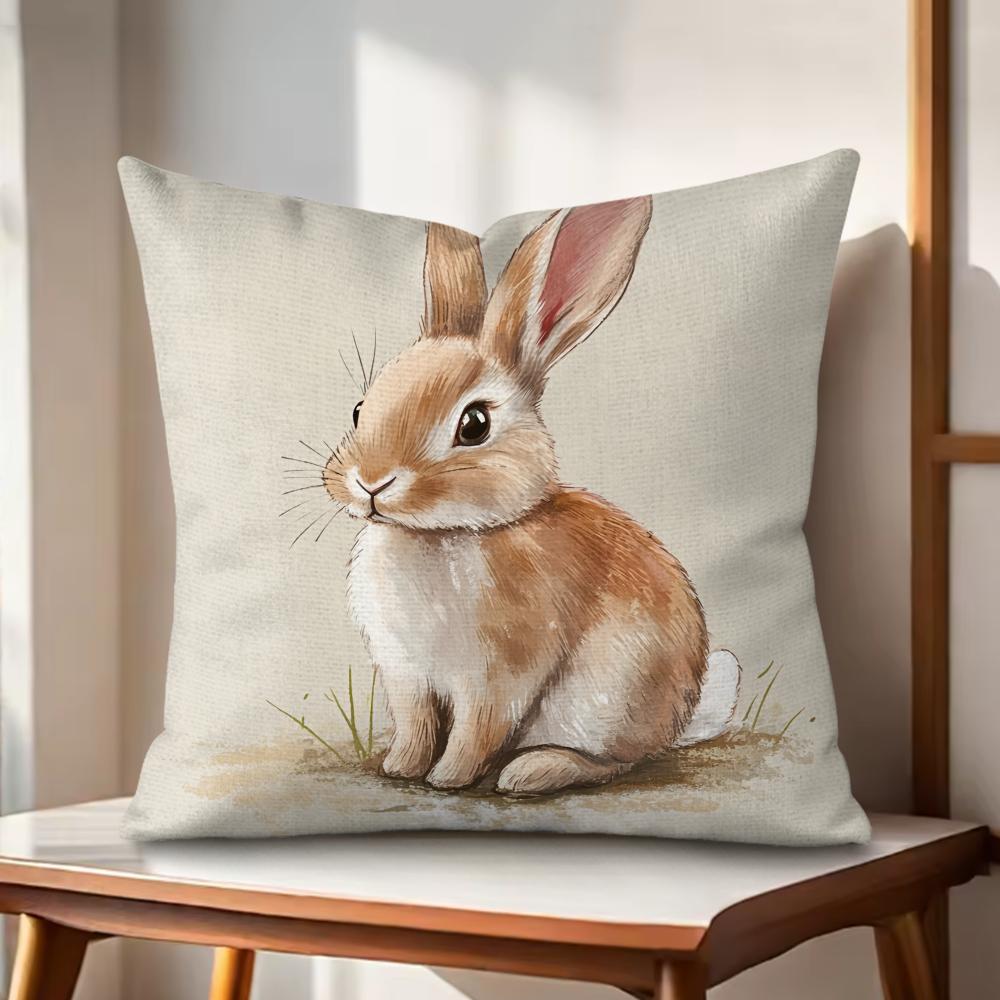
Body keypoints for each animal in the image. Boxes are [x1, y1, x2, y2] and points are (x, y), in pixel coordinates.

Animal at [323, 196, 740, 795]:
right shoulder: (406, 675)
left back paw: (532, 771)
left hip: (606, 700)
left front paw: (448, 778)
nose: (372, 482)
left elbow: (475, 731)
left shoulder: (498, 677)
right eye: (359, 410)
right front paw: (401, 767)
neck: (440, 534)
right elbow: (416, 725)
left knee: (618, 761)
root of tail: (680, 718)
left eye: (474, 424)